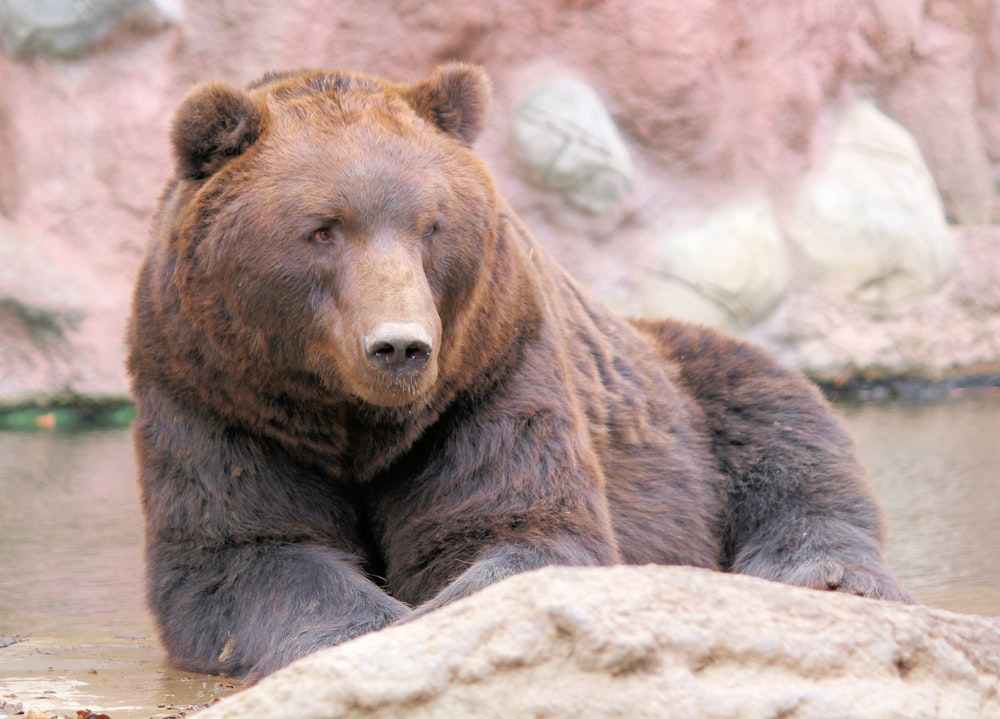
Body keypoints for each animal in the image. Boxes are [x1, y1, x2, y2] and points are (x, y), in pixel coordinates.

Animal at [127, 60, 916, 680]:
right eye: (322, 229)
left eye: (430, 225)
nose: (399, 345)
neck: (355, 425)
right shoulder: (217, 396)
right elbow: (247, 549)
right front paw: (372, 623)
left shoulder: (488, 376)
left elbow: (521, 528)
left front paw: (431, 616)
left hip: (688, 390)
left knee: (784, 431)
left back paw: (827, 575)